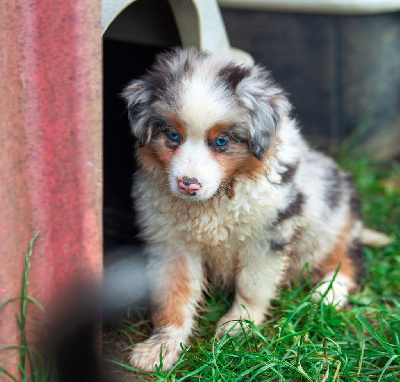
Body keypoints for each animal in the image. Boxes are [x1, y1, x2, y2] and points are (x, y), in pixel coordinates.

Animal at [123, 47, 364, 370]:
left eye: (222, 141)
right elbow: (174, 296)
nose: (188, 185)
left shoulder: (266, 236)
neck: (213, 203)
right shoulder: (171, 243)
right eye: (172, 135)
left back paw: (326, 295)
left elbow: (252, 284)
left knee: (348, 259)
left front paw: (237, 327)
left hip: (329, 219)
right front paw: (160, 349)